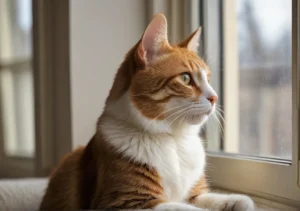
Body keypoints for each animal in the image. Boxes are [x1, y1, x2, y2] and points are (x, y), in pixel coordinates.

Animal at [39, 14, 255, 210]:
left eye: (208, 79)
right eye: (186, 78)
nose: (214, 97)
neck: (173, 140)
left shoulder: (194, 195)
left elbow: (234, 200)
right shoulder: (125, 201)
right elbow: (185, 208)